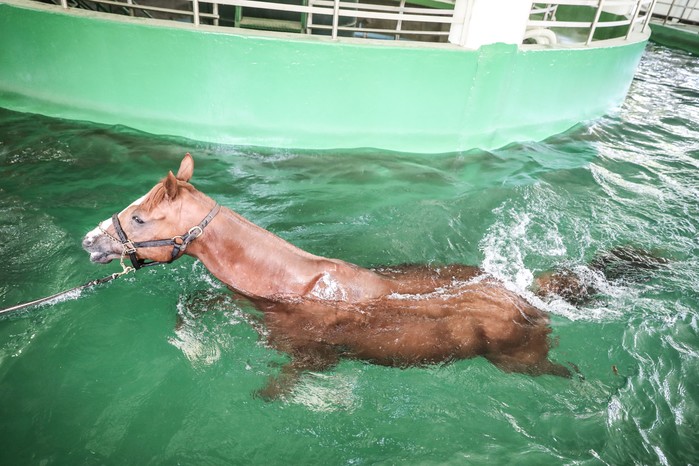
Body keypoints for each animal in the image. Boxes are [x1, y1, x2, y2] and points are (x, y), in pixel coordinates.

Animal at [84, 154, 579, 398]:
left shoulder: (313, 357)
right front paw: (190, 339)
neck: (292, 281)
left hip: (522, 361)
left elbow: (273, 392)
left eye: (141, 219)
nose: (90, 240)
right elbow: (203, 303)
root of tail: (526, 294)